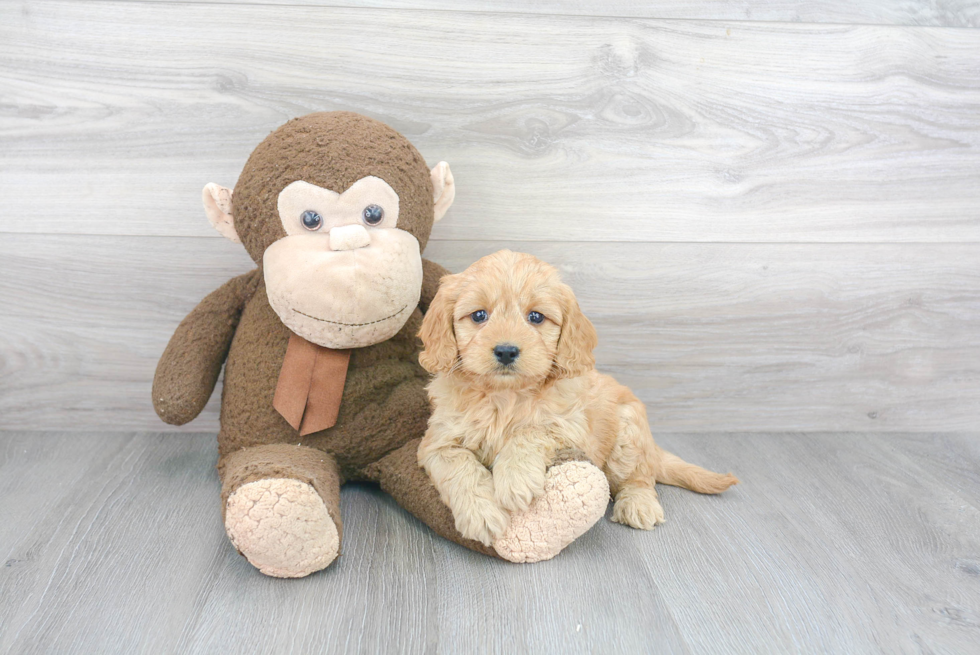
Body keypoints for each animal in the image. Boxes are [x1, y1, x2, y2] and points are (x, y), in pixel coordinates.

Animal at [418, 251, 740, 548]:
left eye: (536, 317)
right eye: (478, 315)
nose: (507, 351)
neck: (505, 397)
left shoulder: (569, 427)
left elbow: (530, 432)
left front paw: (515, 479)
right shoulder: (437, 442)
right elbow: (459, 467)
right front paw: (481, 513)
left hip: (628, 435)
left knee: (639, 478)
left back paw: (638, 504)